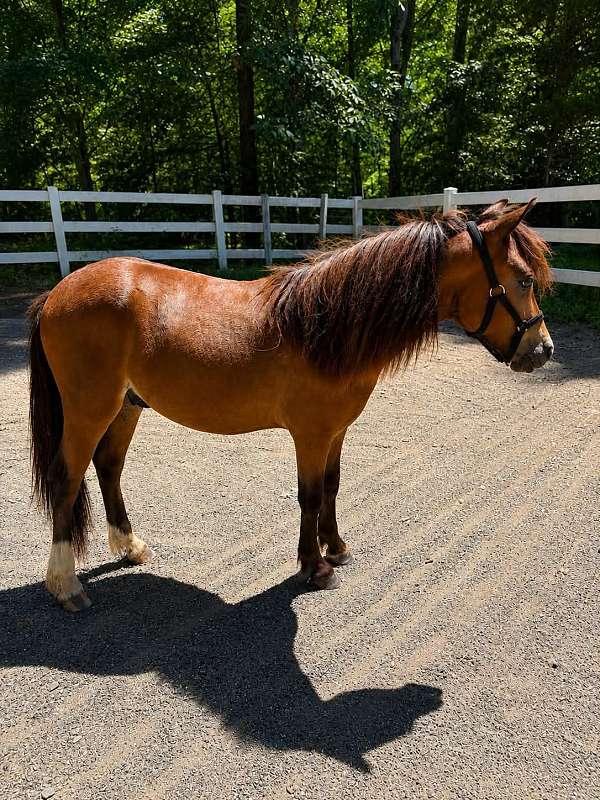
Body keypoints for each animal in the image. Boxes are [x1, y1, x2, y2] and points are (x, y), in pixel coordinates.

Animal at [27, 199, 554, 611]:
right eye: (525, 280)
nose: (543, 351)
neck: (326, 326)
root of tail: (57, 293)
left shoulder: (337, 431)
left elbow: (334, 486)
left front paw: (336, 547)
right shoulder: (311, 434)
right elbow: (310, 495)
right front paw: (314, 567)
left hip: (127, 406)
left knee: (108, 466)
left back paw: (129, 546)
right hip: (89, 410)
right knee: (65, 478)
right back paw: (65, 585)